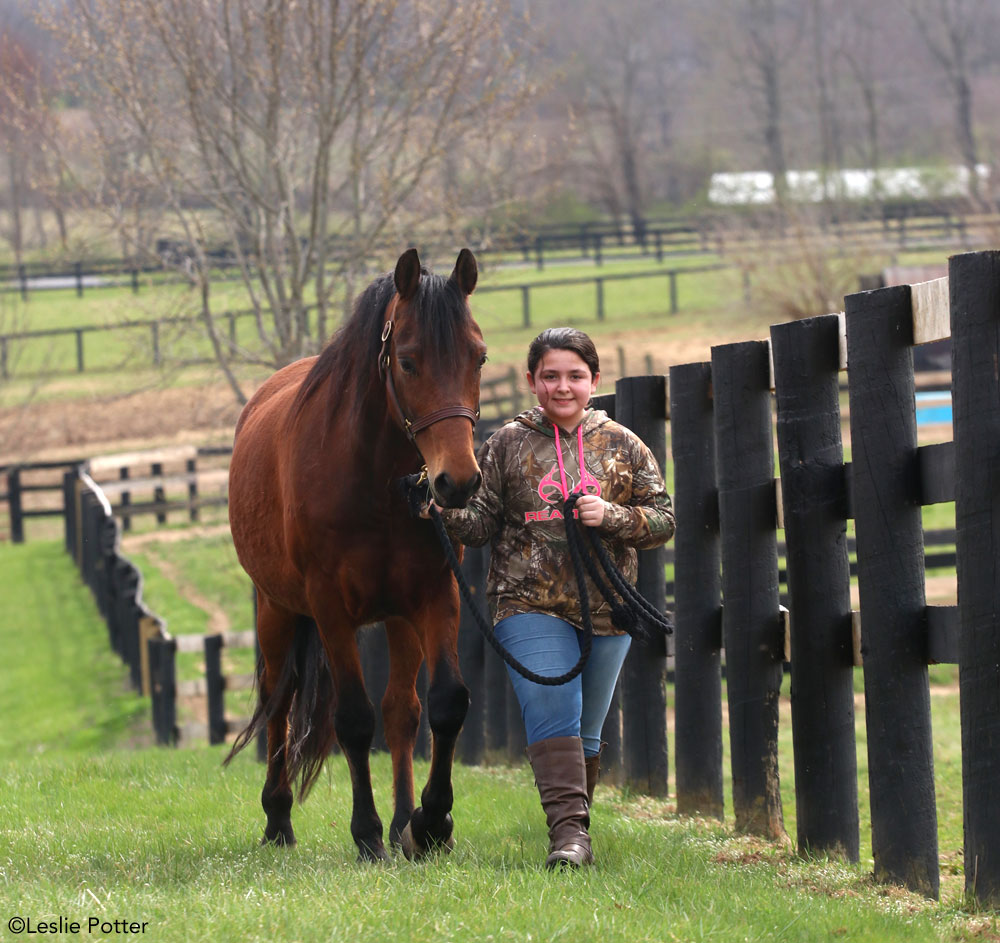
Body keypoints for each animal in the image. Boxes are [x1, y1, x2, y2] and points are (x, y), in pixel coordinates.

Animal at [230, 245, 488, 864]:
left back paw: (401, 823)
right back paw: (279, 820)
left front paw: (430, 822)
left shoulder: (436, 596)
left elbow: (445, 703)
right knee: (280, 702)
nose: (457, 482)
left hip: (397, 618)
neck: (373, 480)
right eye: (409, 362)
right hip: (277, 611)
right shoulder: (329, 609)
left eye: (479, 358)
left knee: (401, 711)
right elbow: (351, 717)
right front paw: (365, 832)